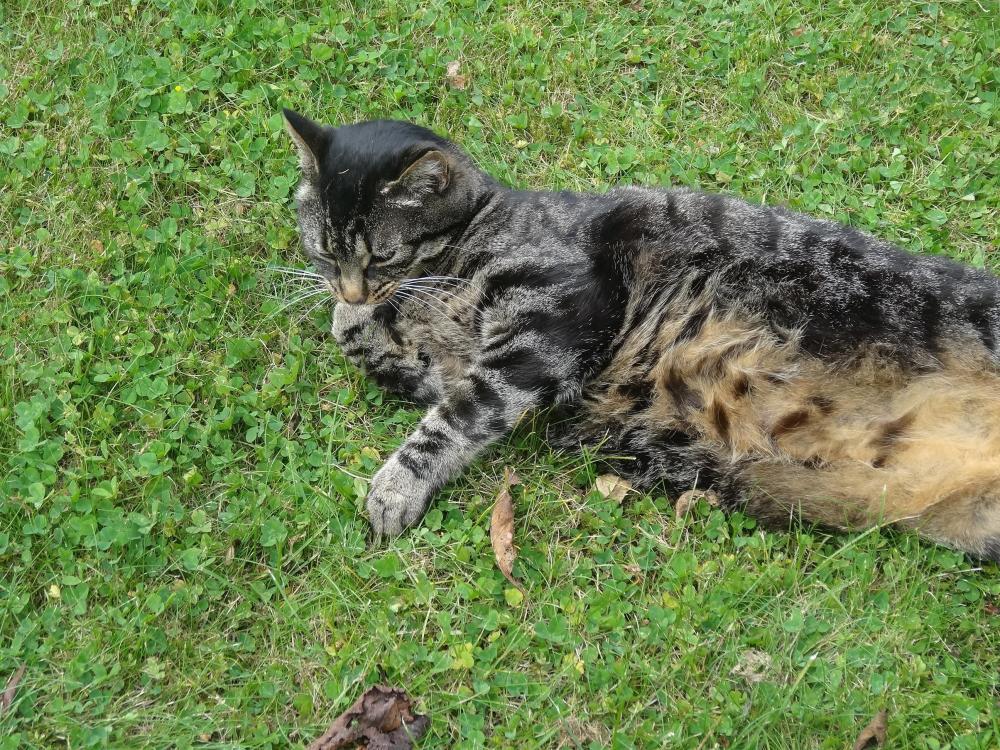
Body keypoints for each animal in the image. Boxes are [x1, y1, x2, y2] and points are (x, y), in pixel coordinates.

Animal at [282, 108, 1000, 561]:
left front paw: (395, 487)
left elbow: (454, 419)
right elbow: (380, 349)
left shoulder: (550, 321)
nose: (350, 286)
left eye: (381, 255)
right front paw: (349, 315)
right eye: (324, 250)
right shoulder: (464, 363)